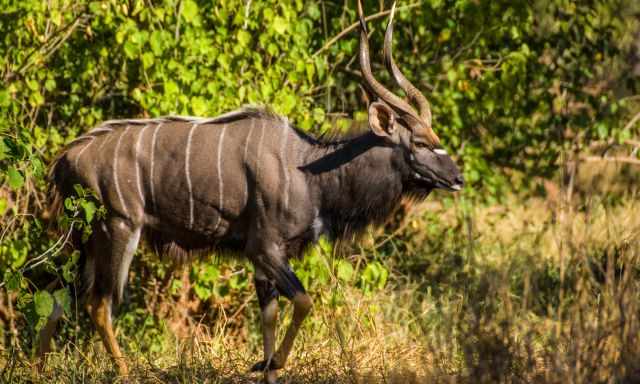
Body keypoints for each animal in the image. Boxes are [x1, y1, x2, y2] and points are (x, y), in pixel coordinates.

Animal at [38, 1, 460, 382]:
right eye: (420, 142)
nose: (457, 177)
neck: (310, 171)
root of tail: (65, 159)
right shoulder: (265, 248)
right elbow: (304, 301)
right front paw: (270, 363)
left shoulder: (264, 259)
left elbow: (269, 315)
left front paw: (268, 367)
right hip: (117, 228)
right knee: (98, 304)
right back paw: (123, 372)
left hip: (82, 241)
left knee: (58, 297)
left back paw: (37, 368)